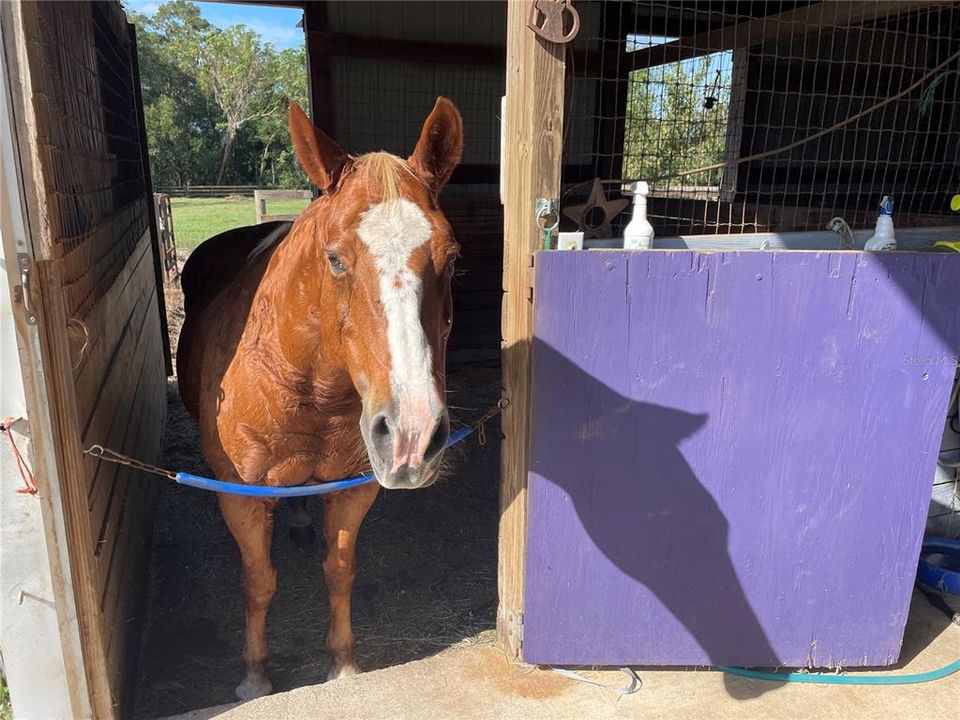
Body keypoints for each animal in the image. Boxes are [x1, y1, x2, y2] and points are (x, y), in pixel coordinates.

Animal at [178, 97, 466, 696]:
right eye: (334, 258)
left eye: (451, 258)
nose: (412, 435)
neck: (311, 391)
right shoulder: (241, 499)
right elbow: (259, 581)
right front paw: (255, 678)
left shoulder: (354, 489)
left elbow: (339, 572)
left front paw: (343, 664)